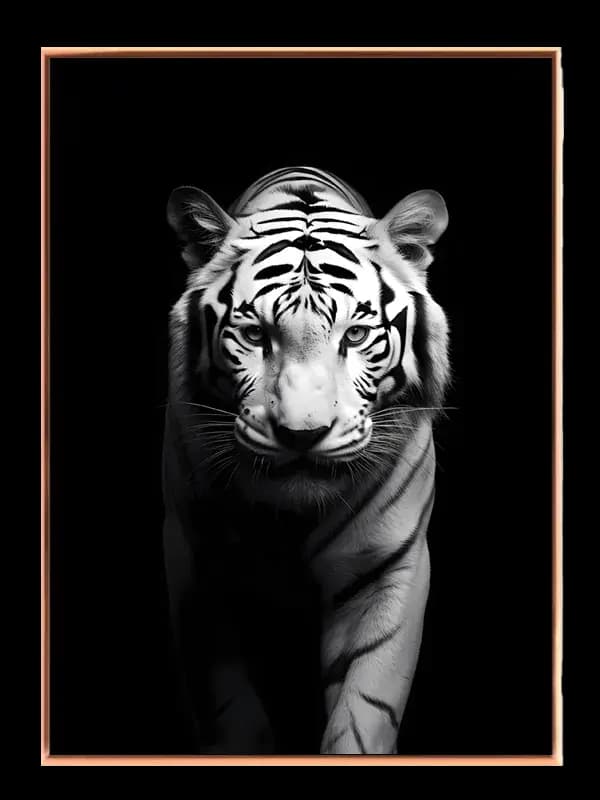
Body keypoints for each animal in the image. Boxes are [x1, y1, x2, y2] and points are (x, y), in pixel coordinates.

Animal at [162, 166, 450, 755]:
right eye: (254, 335)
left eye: (356, 335)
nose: (302, 435)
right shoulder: (197, 566)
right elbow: (229, 713)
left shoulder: (385, 569)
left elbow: (363, 711)